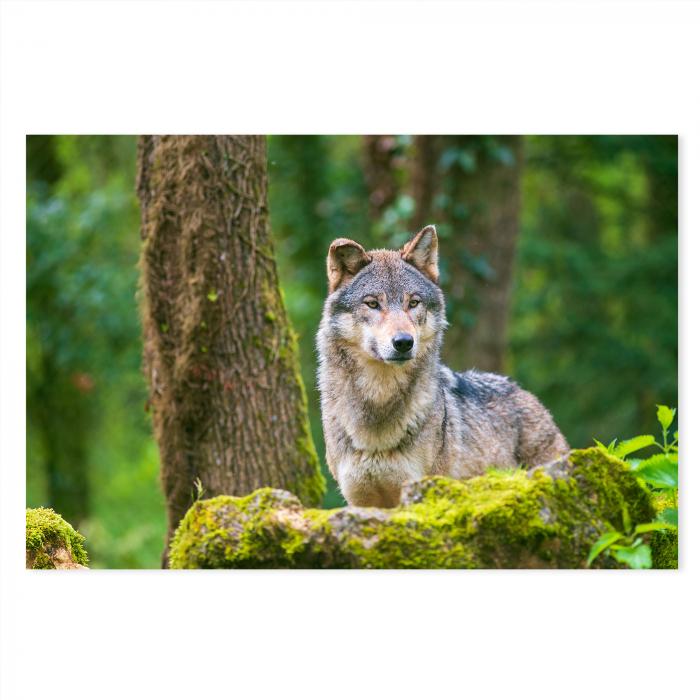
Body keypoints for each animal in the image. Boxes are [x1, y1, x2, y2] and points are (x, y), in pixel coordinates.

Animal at [318, 227, 568, 506]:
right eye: (372, 304)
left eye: (413, 303)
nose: (404, 342)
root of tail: (524, 392)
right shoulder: (361, 502)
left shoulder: (421, 490)